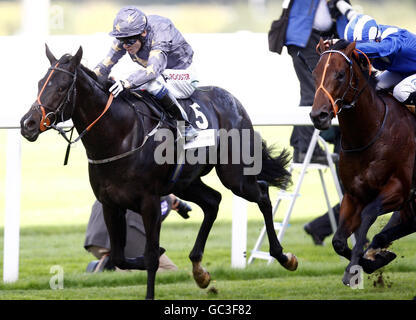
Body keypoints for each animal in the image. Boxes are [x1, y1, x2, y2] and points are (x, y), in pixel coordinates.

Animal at [20, 45, 300, 300]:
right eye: (39, 83)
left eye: (61, 87)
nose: (28, 124)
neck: (121, 135)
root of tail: (232, 100)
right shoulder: (111, 204)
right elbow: (120, 257)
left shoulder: (150, 202)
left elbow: (152, 255)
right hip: (185, 182)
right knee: (213, 201)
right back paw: (199, 271)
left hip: (235, 175)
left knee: (261, 194)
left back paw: (284, 256)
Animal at [310, 38, 416, 286]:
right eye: (314, 73)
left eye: (340, 74)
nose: (318, 116)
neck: (368, 135)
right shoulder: (353, 194)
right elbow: (338, 241)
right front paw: (371, 260)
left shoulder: (398, 189)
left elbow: (369, 214)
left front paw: (355, 267)